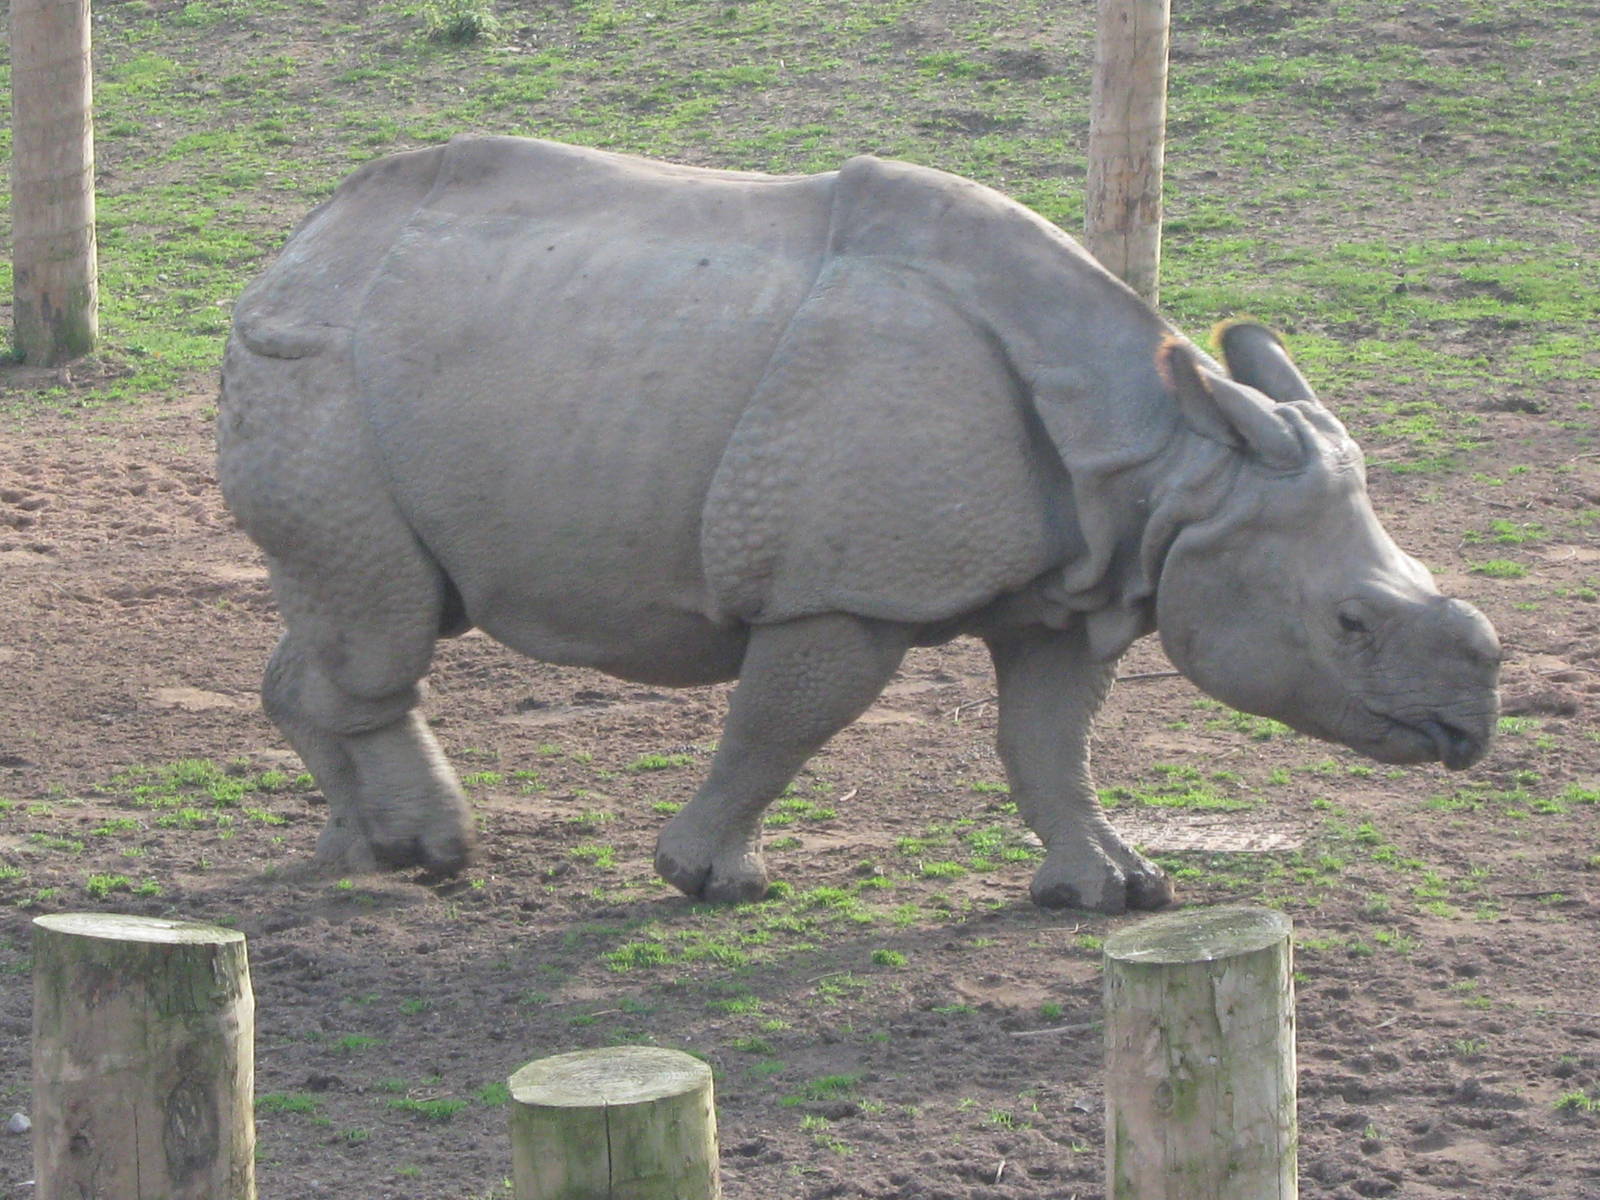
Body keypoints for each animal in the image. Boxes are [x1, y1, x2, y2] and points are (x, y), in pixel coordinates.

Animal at [218, 135, 1500, 914]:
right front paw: (709, 880)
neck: (1171, 462)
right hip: (317, 371)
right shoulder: (840, 590)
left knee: (349, 613)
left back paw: (356, 856)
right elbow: (780, 726)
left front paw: (1111, 892)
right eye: (1350, 623)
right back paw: (432, 854)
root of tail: (293, 250)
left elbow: (1048, 743)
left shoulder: (1072, 583)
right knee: (382, 629)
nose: (1469, 730)